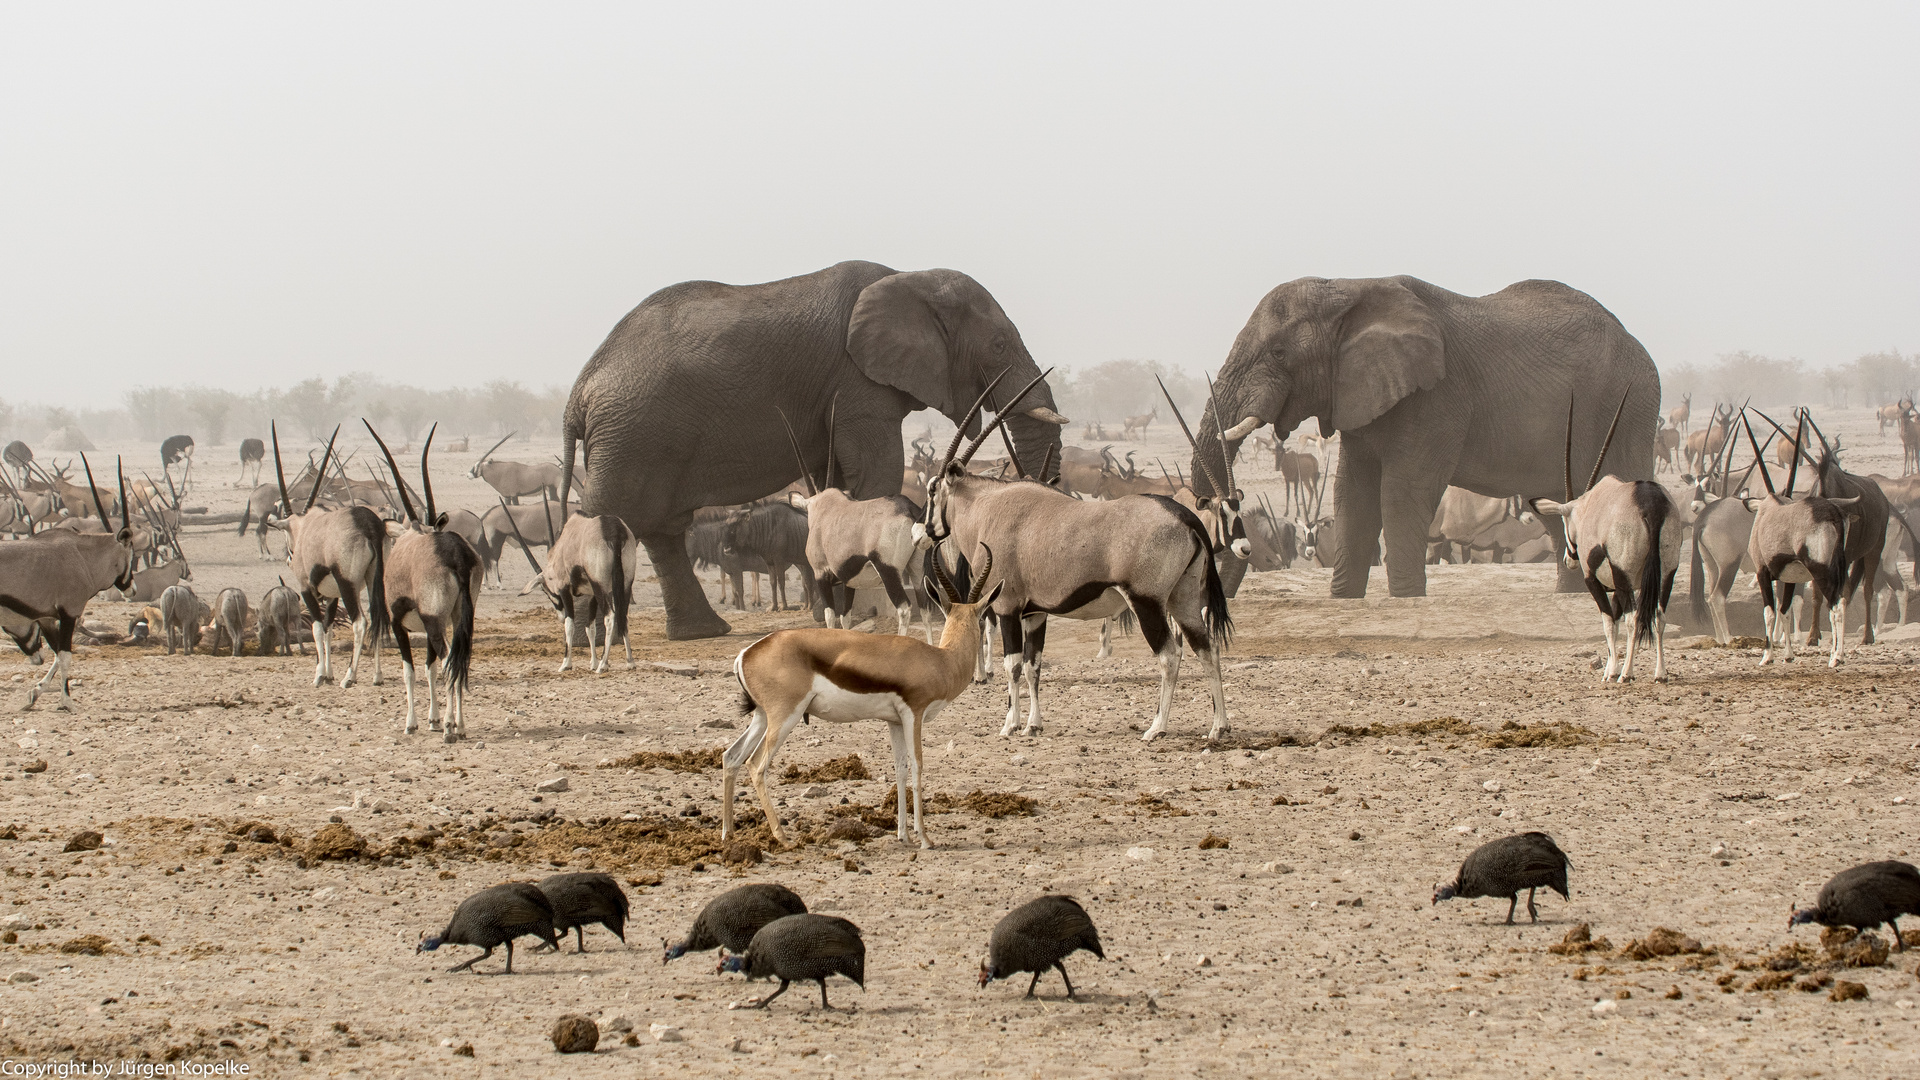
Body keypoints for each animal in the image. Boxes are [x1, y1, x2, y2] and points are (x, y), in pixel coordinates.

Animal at [560, 261, 1067, 638]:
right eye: (998, 344)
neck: (907, 277)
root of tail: (578, 393)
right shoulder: (856, 379)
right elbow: (877, 470)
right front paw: (865, 614)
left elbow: (843, 479)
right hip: (629, 434)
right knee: (610, 515)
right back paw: (590, 634)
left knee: (662, 530)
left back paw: (701, 632)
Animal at [1190, 272, 1658, 595]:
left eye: (1279, 353)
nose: (1234, 539)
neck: (1348, 288)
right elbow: (1352, 494)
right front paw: (1346, 600)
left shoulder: (1437, 398)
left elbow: (1401, 492)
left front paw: (1407, 600)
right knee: (1552, 508)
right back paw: (1570, 596)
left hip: (1629, 405)